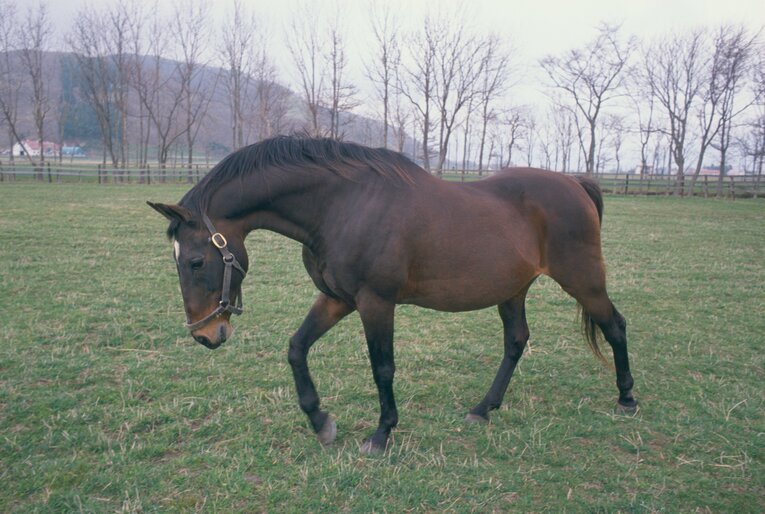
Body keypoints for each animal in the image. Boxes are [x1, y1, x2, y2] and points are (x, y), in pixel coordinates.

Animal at [148, 135, 637, 454]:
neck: (343, 205)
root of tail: (575, 184)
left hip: (583, 279)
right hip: (513, 288)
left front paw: (381, 434)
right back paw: (484, 408)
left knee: (614, 326)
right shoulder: (338, 299)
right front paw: (320, 422)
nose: (205, 334)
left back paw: (627, 398)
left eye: (195, 261)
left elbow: (382, 368)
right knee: (516, 341)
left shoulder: (375, 302)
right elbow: (296, 348)